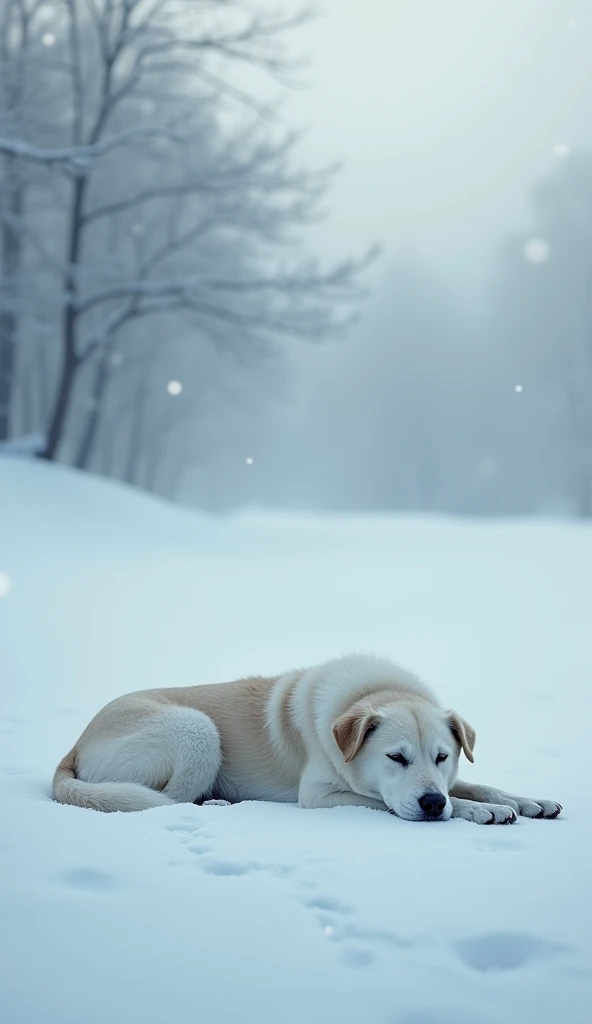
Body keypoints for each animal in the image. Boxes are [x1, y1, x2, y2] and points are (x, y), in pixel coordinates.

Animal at [53, 655, 561, 823]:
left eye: (442, 756)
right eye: (395, 757)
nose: (433, 803)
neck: (372, 693)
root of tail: (73, 746)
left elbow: (478, 784)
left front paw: (523, 800)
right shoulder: (320, 795)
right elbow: (383, 801)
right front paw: (476, 811)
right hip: (197, 730)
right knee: (170, 799)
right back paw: (215, 802)